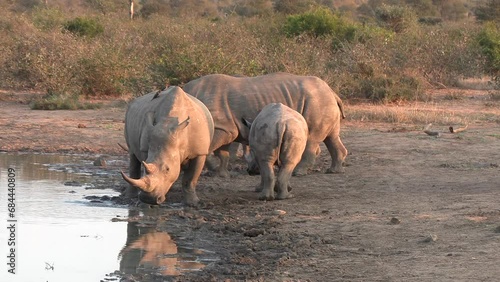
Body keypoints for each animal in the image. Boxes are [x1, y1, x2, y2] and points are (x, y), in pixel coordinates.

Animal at [184, 73, 348, 178]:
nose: (251, 171)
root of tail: (331, 90)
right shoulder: (226, 128)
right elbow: (222, 152)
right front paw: (222, 174)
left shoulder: (222, 127)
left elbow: (209, 148)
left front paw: (213, 169)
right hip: (323, 100)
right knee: (331, 137)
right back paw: (334, 170)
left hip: (317, 100)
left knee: (312, 138)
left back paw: (298, 173)